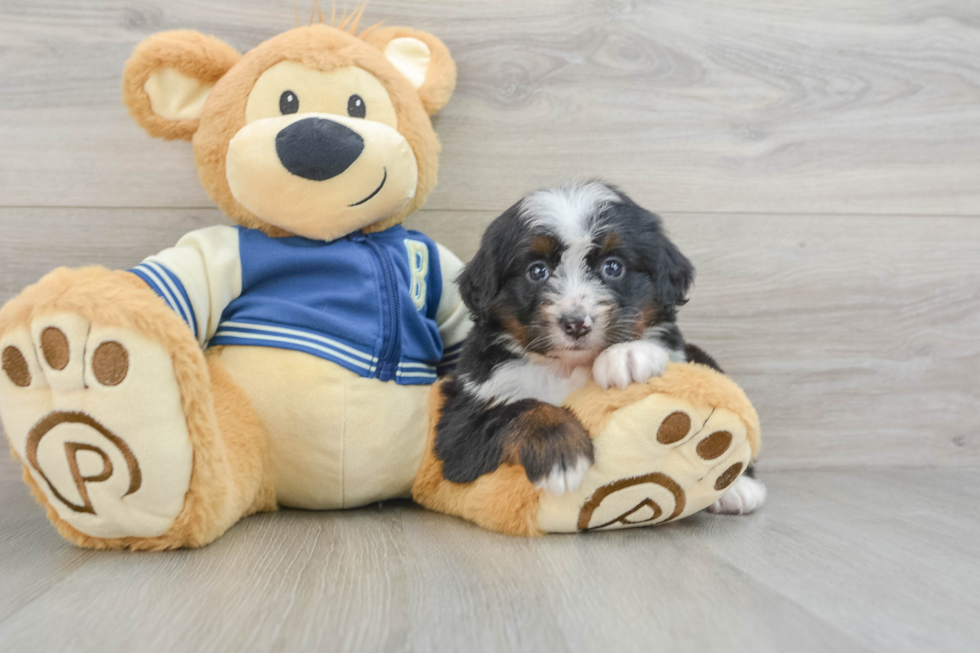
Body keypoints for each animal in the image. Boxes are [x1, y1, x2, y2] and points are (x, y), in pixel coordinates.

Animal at [436, 180, 764, 516]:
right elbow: (516, 409)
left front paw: (628, 355)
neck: (566, 367)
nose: (576, 323)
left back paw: (739, 488)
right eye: (537, 271)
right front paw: (561, 455)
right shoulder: (460, 423)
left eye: (613, 267)